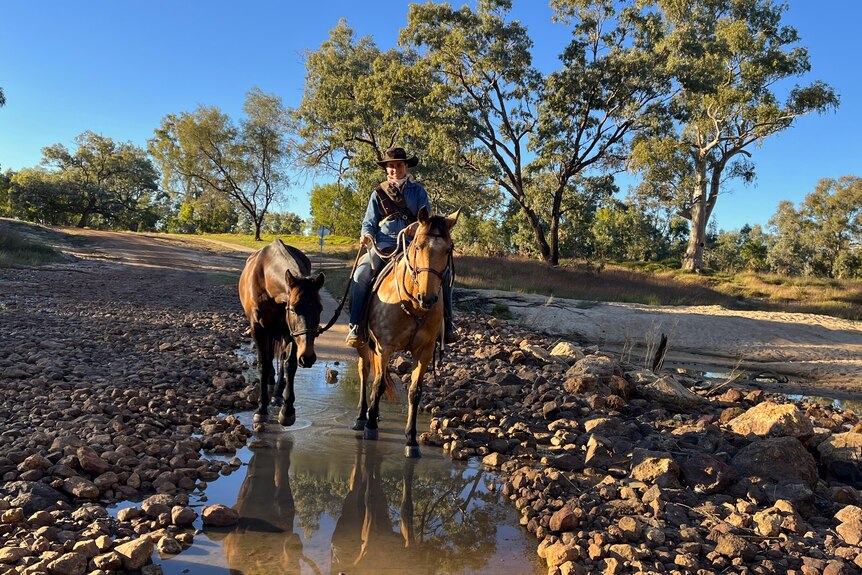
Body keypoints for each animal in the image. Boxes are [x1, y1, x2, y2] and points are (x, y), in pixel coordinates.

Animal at [236, 240, 324, 428]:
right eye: (294, 308)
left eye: (320, 309)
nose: (308, 357)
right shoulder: (258, 329)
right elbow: (263, 364)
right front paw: (261, 409)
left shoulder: (291, 333)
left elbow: (290, 365)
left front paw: (287, 410)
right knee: (269, 357)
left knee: (281, 359)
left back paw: (277, 393)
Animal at [352, 207, 460, 460]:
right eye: (418, 246)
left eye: (448, 249)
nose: (427, 298)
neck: (413, 305)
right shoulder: (384, 347)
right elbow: (378, 384)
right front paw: (371, 427)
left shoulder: (424, 351)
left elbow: (414, 392)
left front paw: (411, 439)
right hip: (364, 345)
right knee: (365, 372)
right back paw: (363, 417)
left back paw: (373, 413)